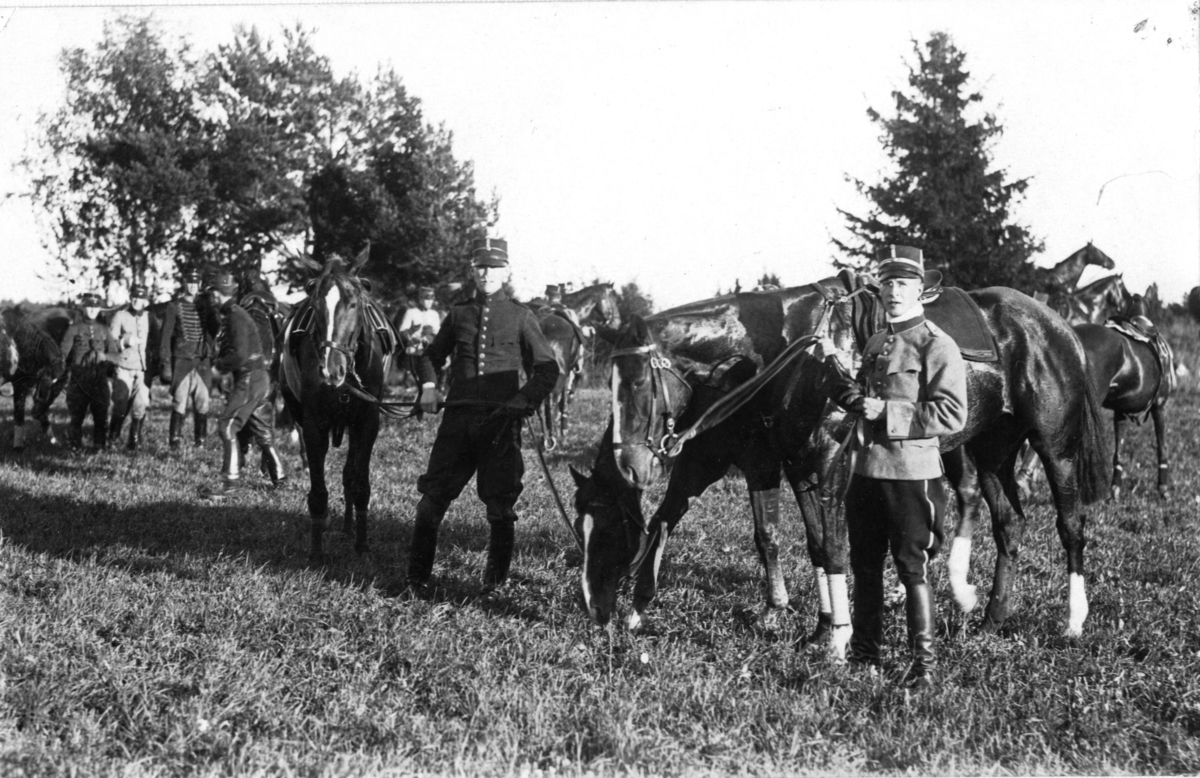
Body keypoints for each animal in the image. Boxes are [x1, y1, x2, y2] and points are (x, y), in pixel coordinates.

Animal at [279, 248, 398, 562]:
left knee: (349, 475)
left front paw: (362, 546)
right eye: (315, 303)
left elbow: (360, 484)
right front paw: (316, 553)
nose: (331, 369)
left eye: (355, 303)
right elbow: (318, 491)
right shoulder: (313, 424)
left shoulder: (367, 423)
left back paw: (348, 527)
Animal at [574, 275, 1110, 644]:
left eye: (637, 384)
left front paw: (837, 633)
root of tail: (1058, 325)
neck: (787, 352)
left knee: (1070, 525)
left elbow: (830, 545)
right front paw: (821, 625)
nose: (593, 608)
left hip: (1054, 448)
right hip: (992, 448)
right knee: (1008, 525)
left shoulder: (823, 464)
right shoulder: (791, 466)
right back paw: (991, 618)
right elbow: (806, 542)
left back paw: (1073, 620)